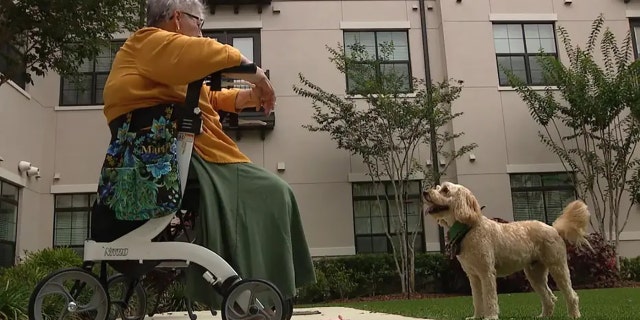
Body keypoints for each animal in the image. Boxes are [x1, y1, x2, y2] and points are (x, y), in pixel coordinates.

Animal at [422, 181, 592, 318]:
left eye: (445, 190)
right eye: (437, 187)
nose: (425, 192)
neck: (468, 229)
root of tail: (554, 229)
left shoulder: (486, 273)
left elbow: (489, 298)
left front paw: (490, 316)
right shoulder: (473, 276)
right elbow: (477, 299)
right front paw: (477, 316)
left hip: (558, 266)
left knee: (571, 294)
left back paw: (574, 315)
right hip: (535, 274)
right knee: (548, 297)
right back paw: (544, 316)